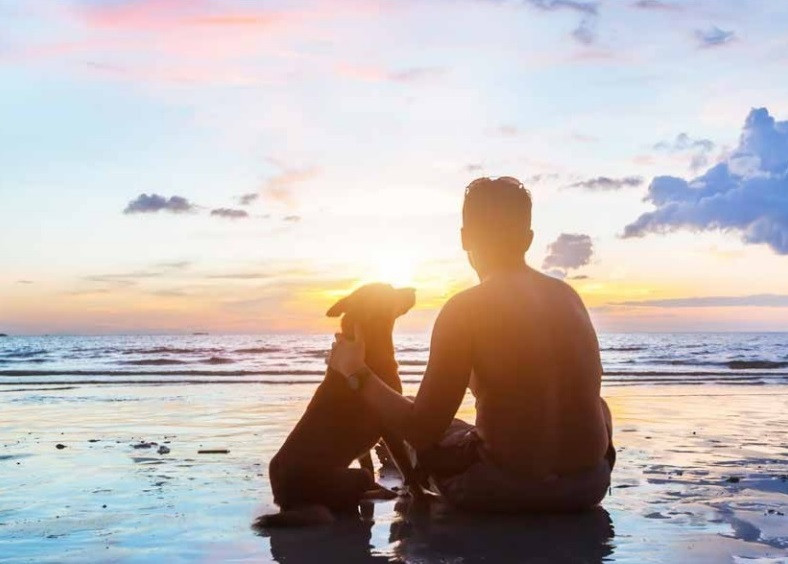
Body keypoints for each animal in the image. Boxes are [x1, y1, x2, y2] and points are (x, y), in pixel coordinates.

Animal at [255, 284, 422, 528]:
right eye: (389, 291)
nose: (414, 289)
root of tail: (287, 502)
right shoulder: (389, 427)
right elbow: (405, 466)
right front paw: (419, 493)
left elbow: (368, 463)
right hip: (346, 479)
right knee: (352, 497)